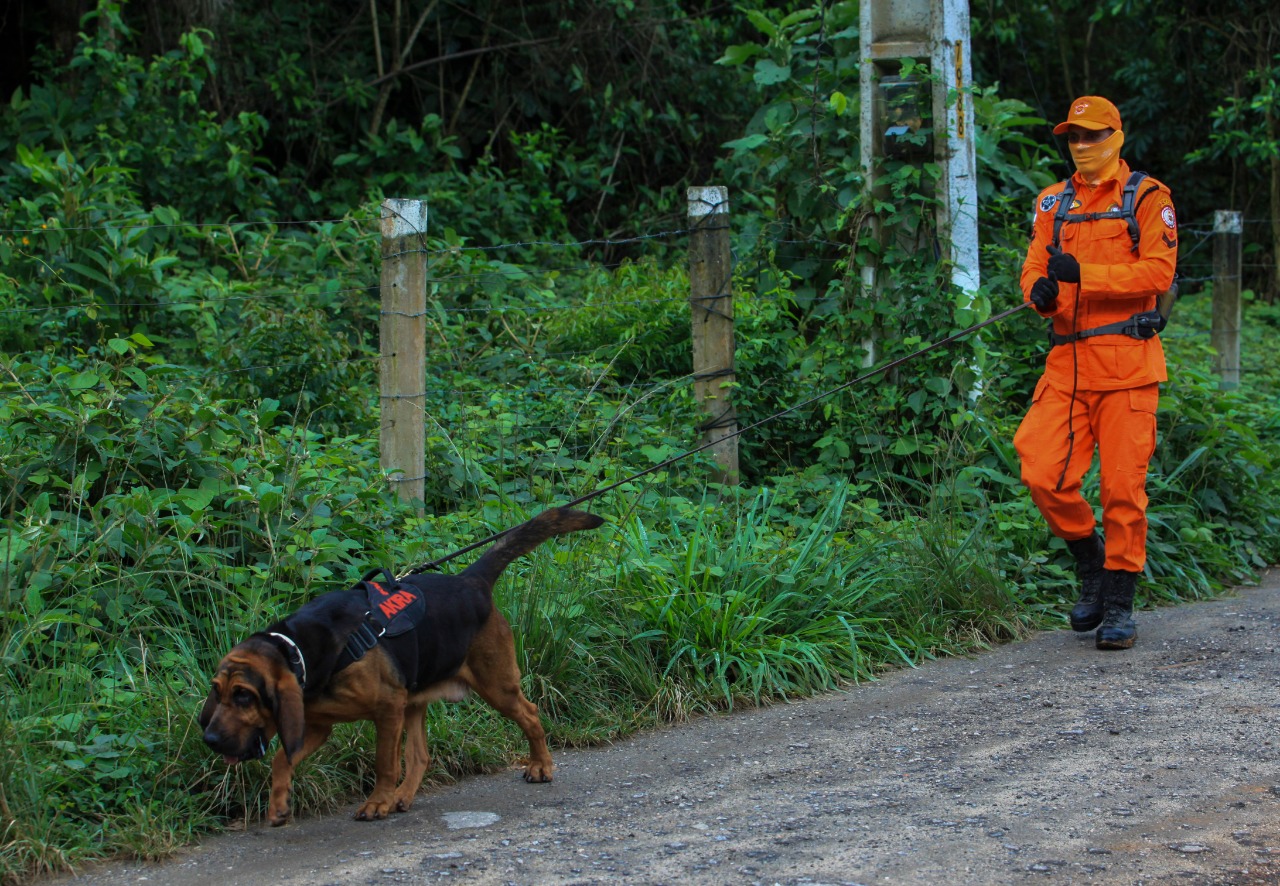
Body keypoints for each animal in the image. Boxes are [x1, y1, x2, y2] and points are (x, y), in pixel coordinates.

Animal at [197, 509, 601, 829]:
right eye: (218, 691)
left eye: (245, 696)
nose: (210, 740)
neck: (300, 649)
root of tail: (470, 581)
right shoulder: (318, 725)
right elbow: (282, 759)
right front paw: (279, 804)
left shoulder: (387, 709)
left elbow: (383, 764)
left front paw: (378, 802)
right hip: (416, 701)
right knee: (420, 756)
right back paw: (402, 797)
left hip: (495, 685)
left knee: (530, 715)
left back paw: (541, 766)